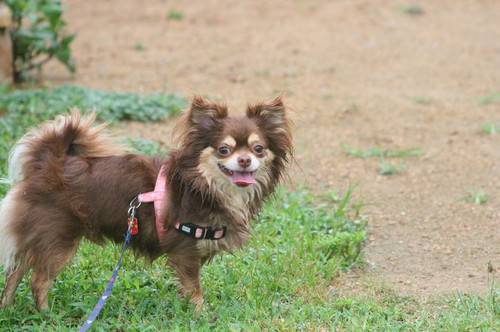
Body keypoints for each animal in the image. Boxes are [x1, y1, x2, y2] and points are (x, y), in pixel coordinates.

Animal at [0, 96, 292, 312]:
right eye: (224, 149)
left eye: (258, 149)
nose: (244, 160)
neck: (206, 186)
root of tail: (48, 161)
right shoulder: (186, 250)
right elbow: (195, 289)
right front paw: (201, 315)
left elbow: (187, 288)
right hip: (59, 238)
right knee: (38, 280)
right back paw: (47, 315)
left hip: (37, 236)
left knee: (15, 273)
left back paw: (8, 308)